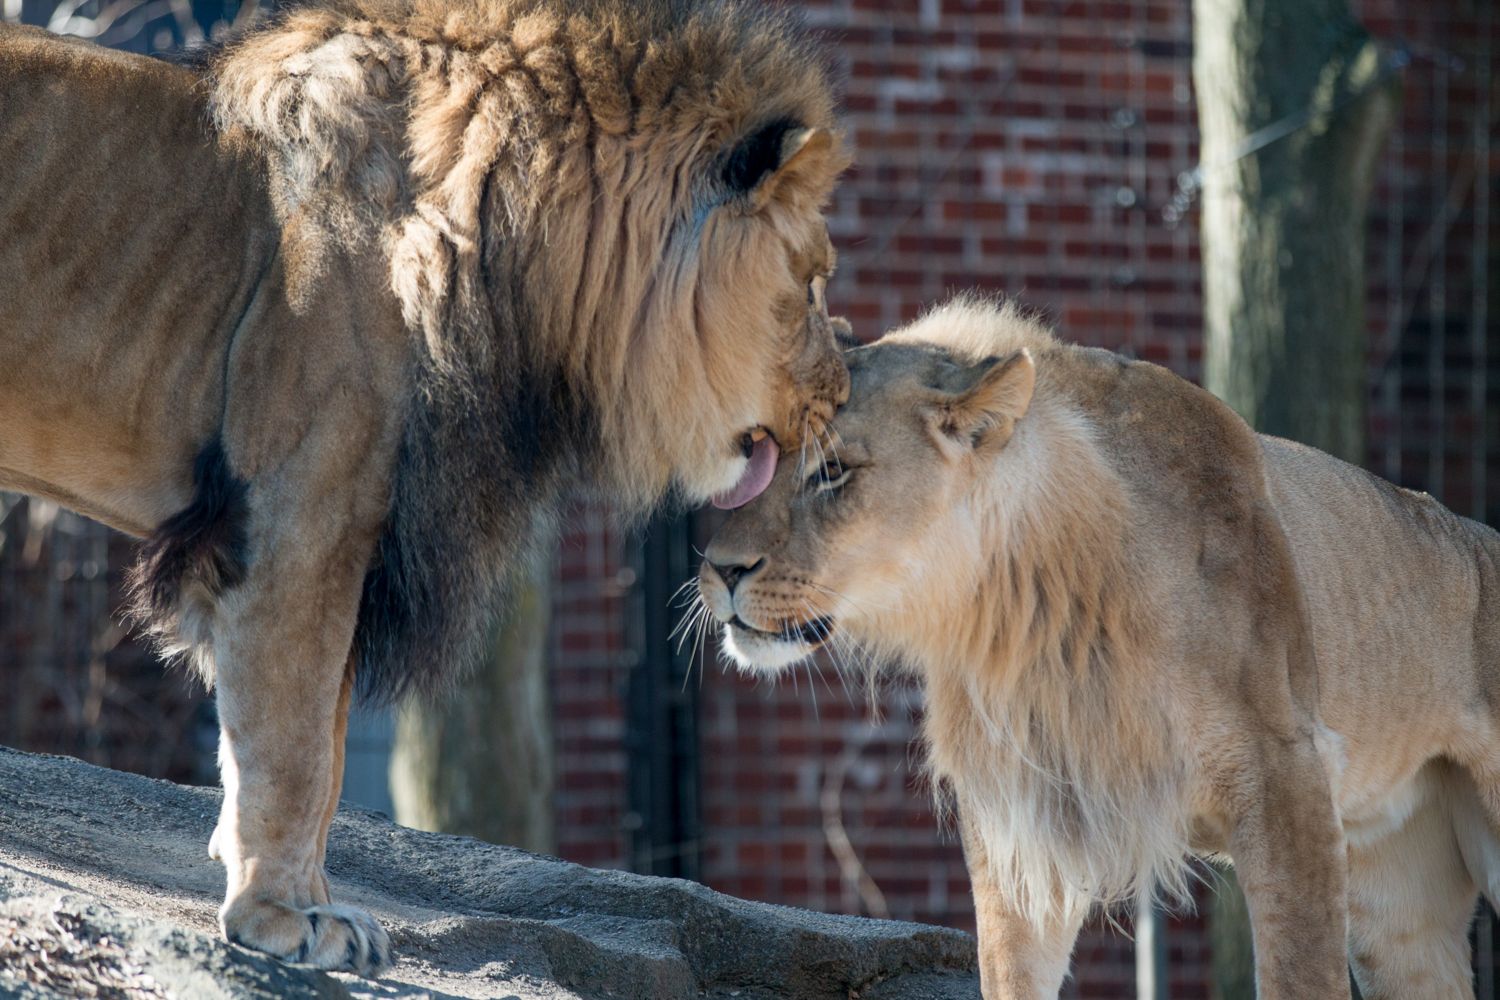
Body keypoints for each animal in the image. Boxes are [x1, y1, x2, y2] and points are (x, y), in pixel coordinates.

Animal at [0, 0, 849, 975]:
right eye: (812, 282)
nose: (842, 396)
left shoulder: (353, 530)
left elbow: (324, 749)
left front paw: (308, 899)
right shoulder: (300, 516)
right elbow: (293, 747)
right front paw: (282, 915)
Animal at [698, 297, 1500, 1000]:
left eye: (833, 470)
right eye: (758, 457)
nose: (718, 568)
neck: (1025, 607)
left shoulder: (1288, 772)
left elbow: (1300, 978)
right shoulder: (1017, 818)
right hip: (1398, 910)